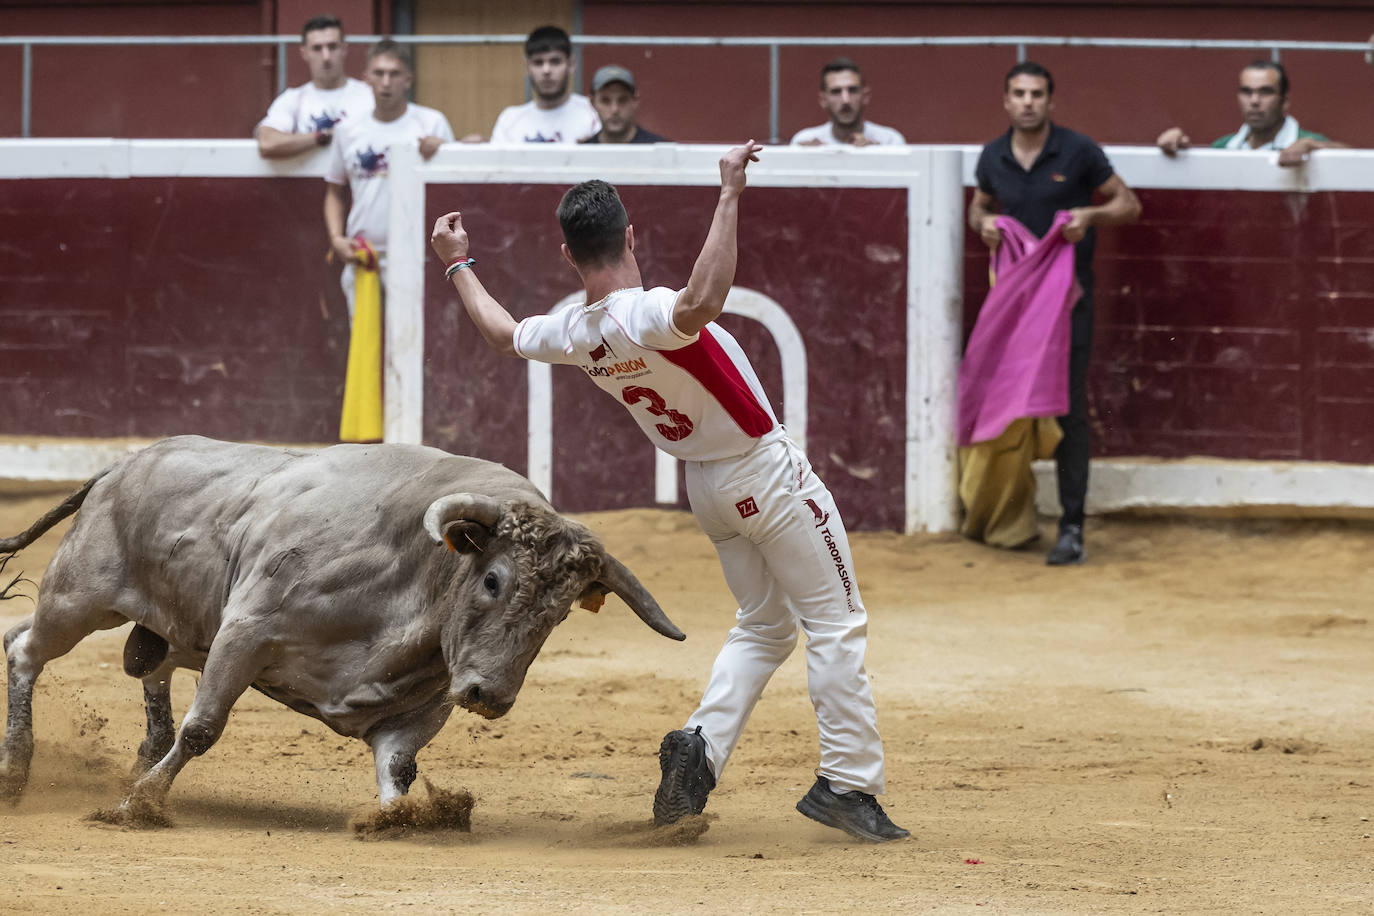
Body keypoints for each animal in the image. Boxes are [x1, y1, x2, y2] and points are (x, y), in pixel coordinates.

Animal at [0, 436, 684, 823]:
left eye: (560, 612)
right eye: (493, 580)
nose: (489, 696)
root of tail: (119, 468)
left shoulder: (419, 707)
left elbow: (398, 770)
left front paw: (409, 818)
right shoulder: (244, 633)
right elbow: (202, 731)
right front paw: (135, 806)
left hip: (168, 628)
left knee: (144, 667)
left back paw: (136, 752)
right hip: (79, 597)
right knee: (25, 648)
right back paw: (16, 770)